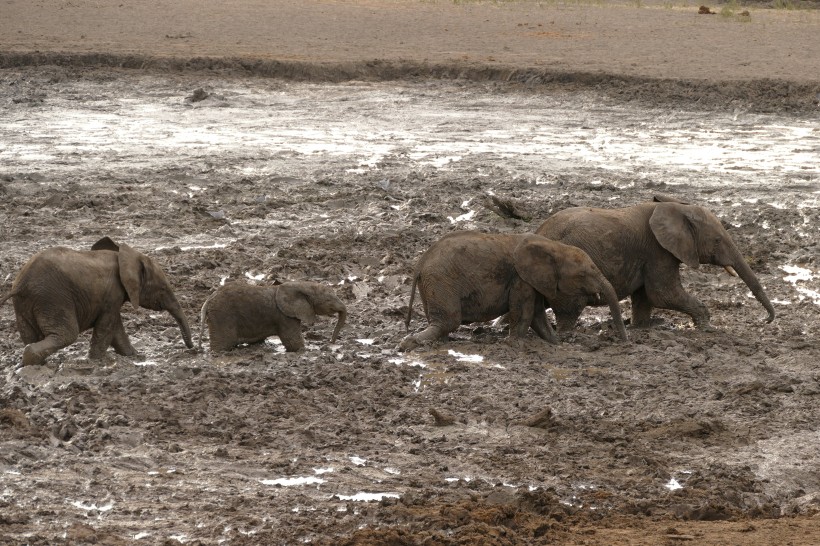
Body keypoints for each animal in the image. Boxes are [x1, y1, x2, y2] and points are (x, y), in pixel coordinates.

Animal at [0, 235, 194, 366]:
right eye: (163, 289)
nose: (192, 349)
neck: (125, 256)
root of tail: (21, 285)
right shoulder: (112, 294)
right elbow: (106, 327)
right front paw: (96, 361)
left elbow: (115, 328)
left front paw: (136, 357)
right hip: (52, 298)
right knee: (67, 334)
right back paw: (30, 357)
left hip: (26, 304)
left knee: (30, 336)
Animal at [202, 278, 350, 350]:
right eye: (329, 300)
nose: (330, 343)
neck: (301, 286)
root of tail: (208, 300)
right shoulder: (284, 316)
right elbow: (293, 343)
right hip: (222, 316)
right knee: (223, 345)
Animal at [398, 228, 628, 348]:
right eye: (582, 275)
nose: (625, 342)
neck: (554, 246)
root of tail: (420, 263)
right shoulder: (521, 279)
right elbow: (525, 312)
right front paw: (514, 343)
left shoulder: (533, 281)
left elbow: (537, 315)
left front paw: (556, 343)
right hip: (441, 280)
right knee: (448, 321)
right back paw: (409, 343)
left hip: (432, 283)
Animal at [536, 197, 780, 332]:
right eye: (718, 240)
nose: (766, 320)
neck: (676, 207)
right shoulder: (657, 251)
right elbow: (663, 294)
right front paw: (708, 328)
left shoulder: (648, 255)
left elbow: (646, 296)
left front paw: (642, 328)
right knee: (570, 308)